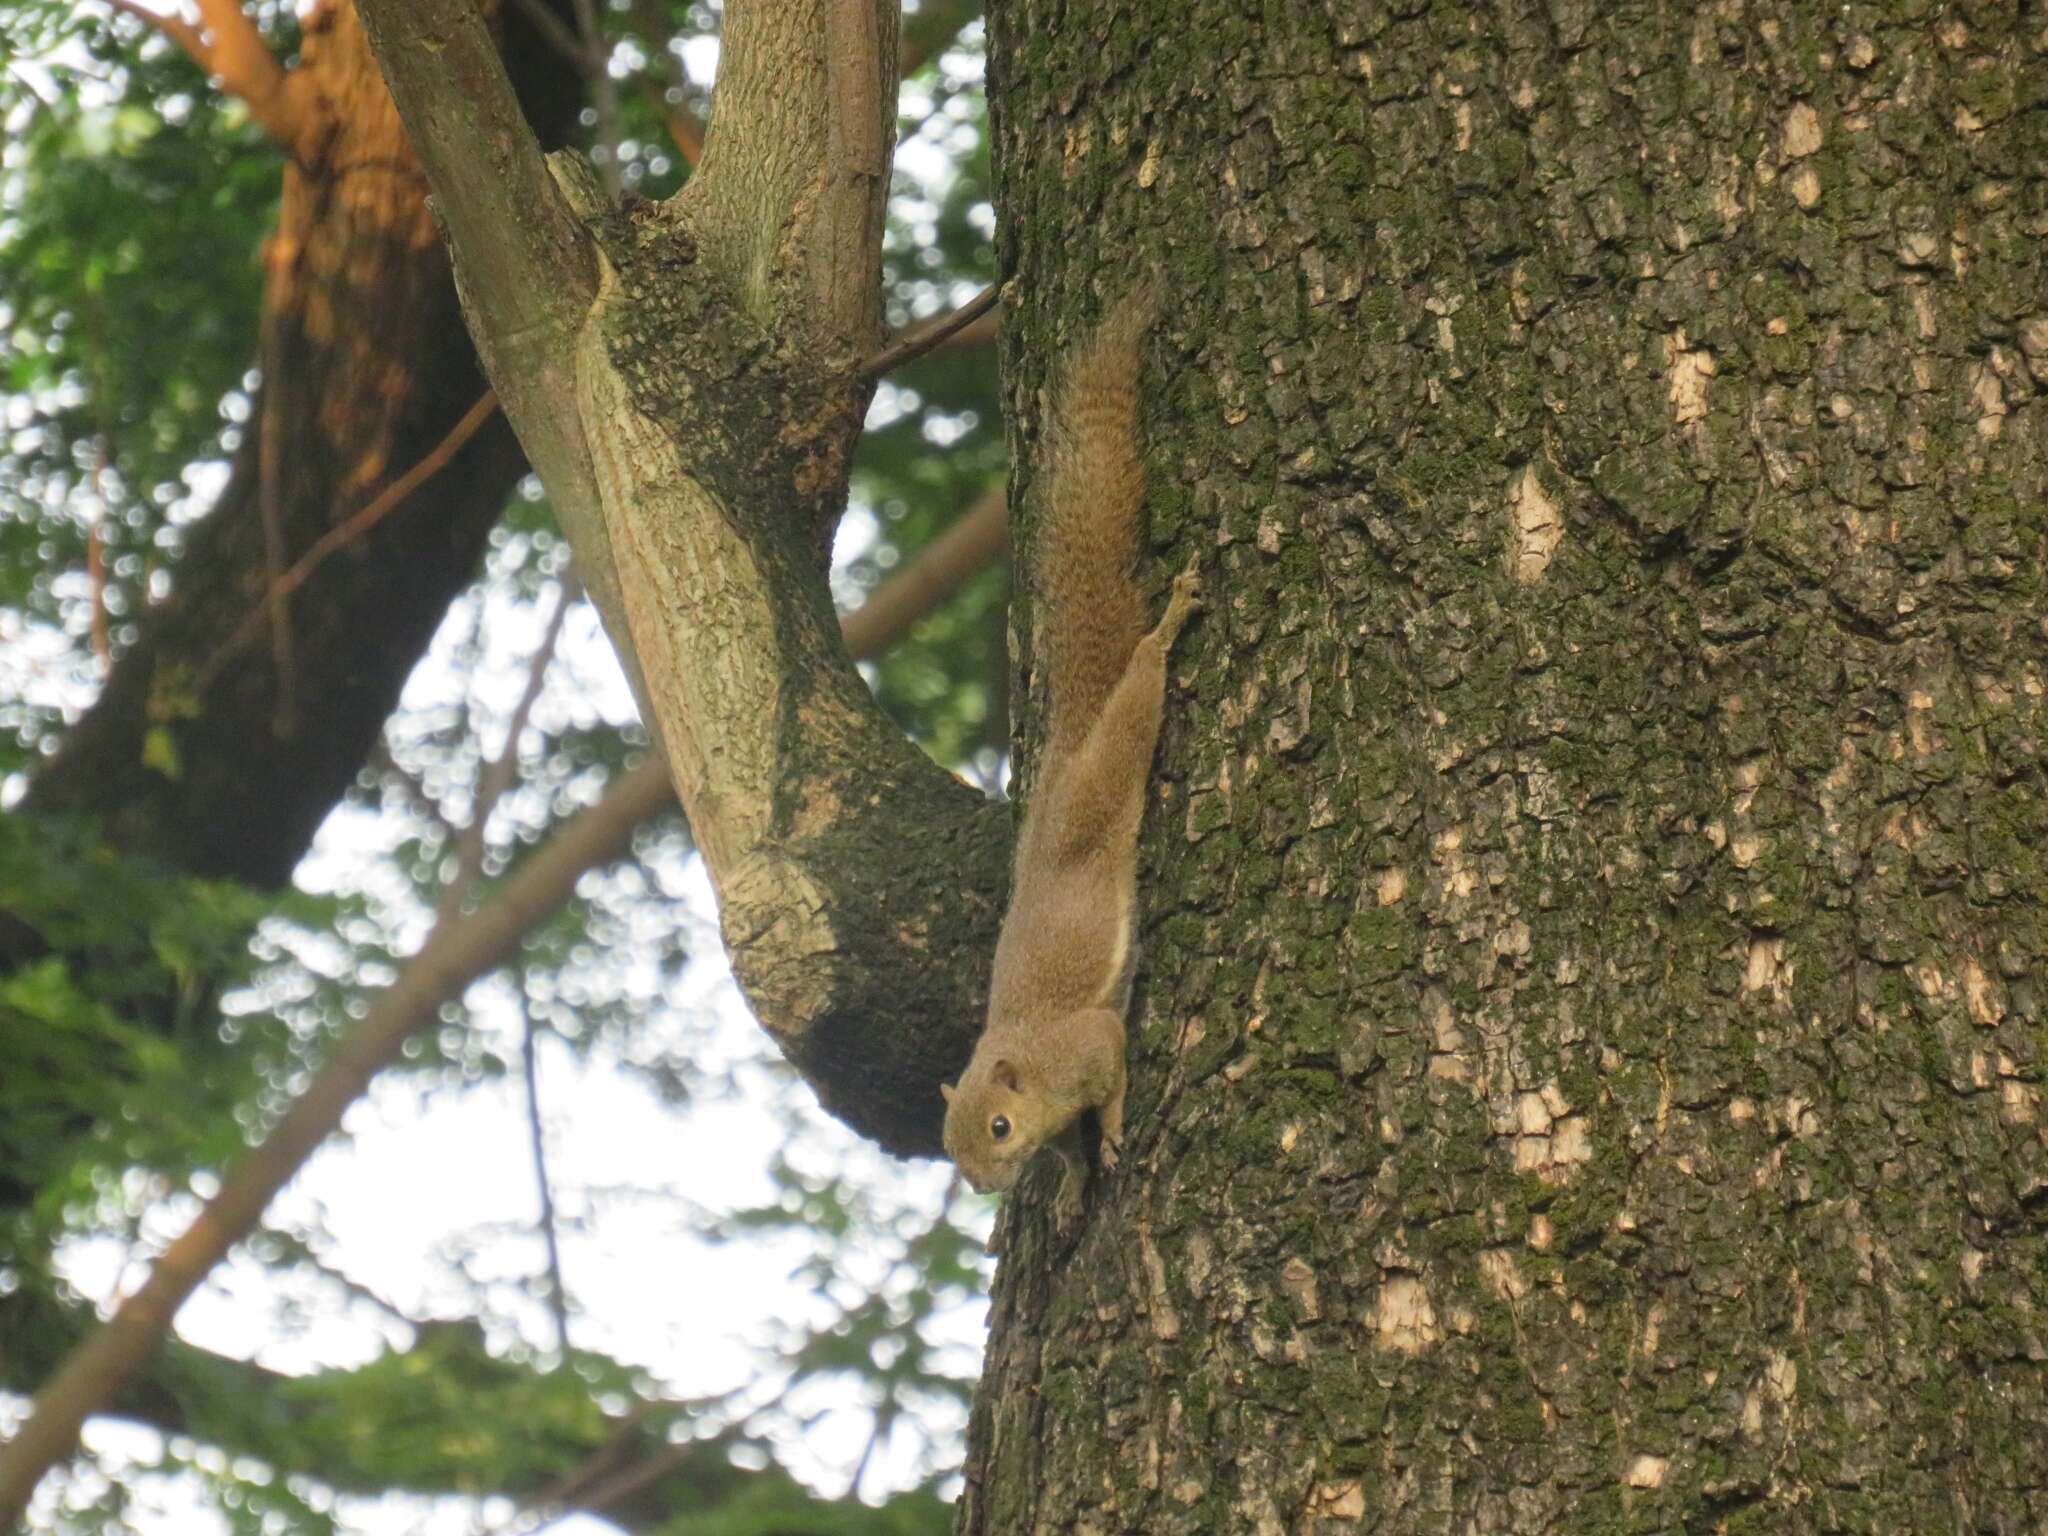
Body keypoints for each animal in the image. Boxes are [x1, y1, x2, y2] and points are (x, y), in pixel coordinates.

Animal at [942, 286, 1196, 1228]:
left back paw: (1169, 628)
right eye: (953, 1149)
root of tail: (1065, 755)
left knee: (1142, 691)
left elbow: (1114, 1070)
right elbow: (1072, 1150)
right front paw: (1078, 1180)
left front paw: (1115, 1134)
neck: (1027, 1060)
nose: (986, 1185)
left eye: (1000, 1126)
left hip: (1110, 766)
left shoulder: (1088, 1041)